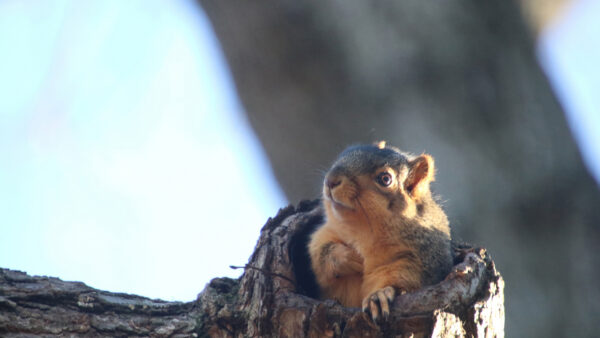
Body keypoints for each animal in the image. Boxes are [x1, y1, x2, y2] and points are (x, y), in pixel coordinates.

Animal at [308, 141, 452, 320]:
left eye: (385, 179)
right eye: (345, 153)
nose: (331, 180)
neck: (362, 232)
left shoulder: (416, 261)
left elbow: (402, 281)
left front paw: (378, 296)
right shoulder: (326, 233)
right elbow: (319, 254)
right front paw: (348, 257)